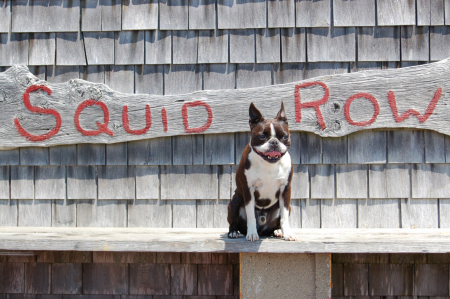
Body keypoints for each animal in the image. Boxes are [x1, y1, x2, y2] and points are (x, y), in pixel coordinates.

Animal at [227, 102, 298, 241]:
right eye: (262, 136)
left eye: (284, 136)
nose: (274, 142)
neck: (268, 164)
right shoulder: (248, 189)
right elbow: (250, 215)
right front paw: (252, 233)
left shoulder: (286, 189)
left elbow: (284, 216)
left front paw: (287, 233)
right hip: (235, 200)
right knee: (234, 220)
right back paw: (233, 232)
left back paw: (278, 231)